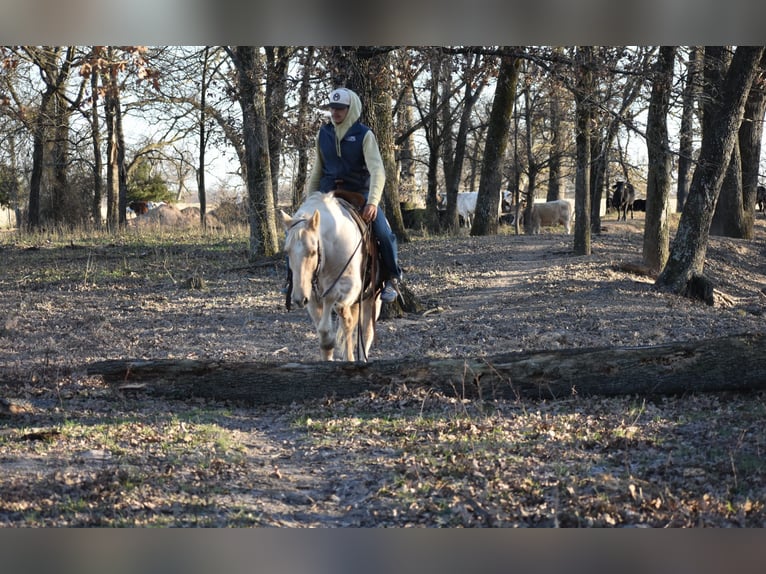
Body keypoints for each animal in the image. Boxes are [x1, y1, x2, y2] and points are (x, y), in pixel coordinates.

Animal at [279, 191, 381, 362]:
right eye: (287, 251)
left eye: (313, 251)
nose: (299, 298)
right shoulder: (312, 298)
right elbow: (325, 334)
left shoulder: (349, 289)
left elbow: (343, 315)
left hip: (373, 297)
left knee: (366, 331)